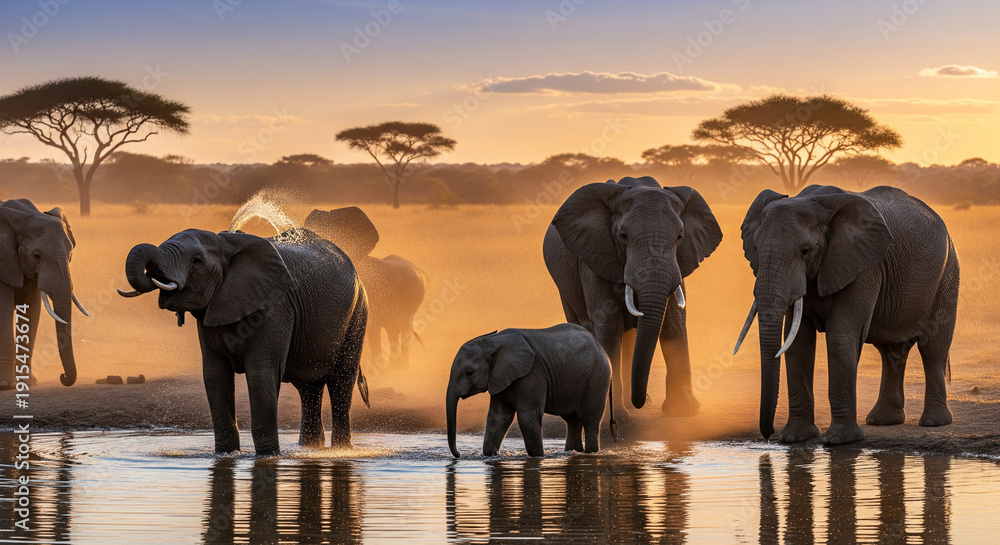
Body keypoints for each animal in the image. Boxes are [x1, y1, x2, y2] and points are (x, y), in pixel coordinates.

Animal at [0, 199, 87, 389]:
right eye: (36, 256)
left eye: (70, 255)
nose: (62, 376)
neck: (24, 216)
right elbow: (3, 312)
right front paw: (6, 385)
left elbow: (32, 312)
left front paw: (27, 383)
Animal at [118, 227, 370, 455]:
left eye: (196, 261)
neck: (225, 243)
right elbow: (215, 377)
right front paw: (226, 455)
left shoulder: (274, 307)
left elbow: (261, 374)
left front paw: (268, 457)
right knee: (309, 389)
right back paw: (310, 450)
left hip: (358, 314)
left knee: (341, 383)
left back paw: (341, 451)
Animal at [446, 324, 614, 457]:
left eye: (469, 373)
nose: (459, 454)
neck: (494, 341)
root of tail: (602, 349)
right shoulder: (500, 377)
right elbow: (498, 417)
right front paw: (491, 455)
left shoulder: (532, 374)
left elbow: (528, 417)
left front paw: (538, 456)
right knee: (572, 420)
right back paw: (572, 452)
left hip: (597, 378)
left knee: (590, 418)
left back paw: (590, 453)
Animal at [543, 176, 723, 421]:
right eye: (623, 236)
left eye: (680, 237)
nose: (640, 401)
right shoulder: (594, 259)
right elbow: (609, 327)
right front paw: (616, 418)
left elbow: (673, 323)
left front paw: (683, 412)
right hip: (564, 284)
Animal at [734, 185, 960, 445]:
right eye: (756, 249)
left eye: (805, 252)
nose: (769, 434)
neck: (814, 202)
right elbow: (798, 344)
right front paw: (795, 438)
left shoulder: (863, 267)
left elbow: (840, 337)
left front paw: (839, 441)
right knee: (892, 352)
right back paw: (882, 421)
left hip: (947, 275)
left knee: (933, 348)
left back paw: (934, 422)